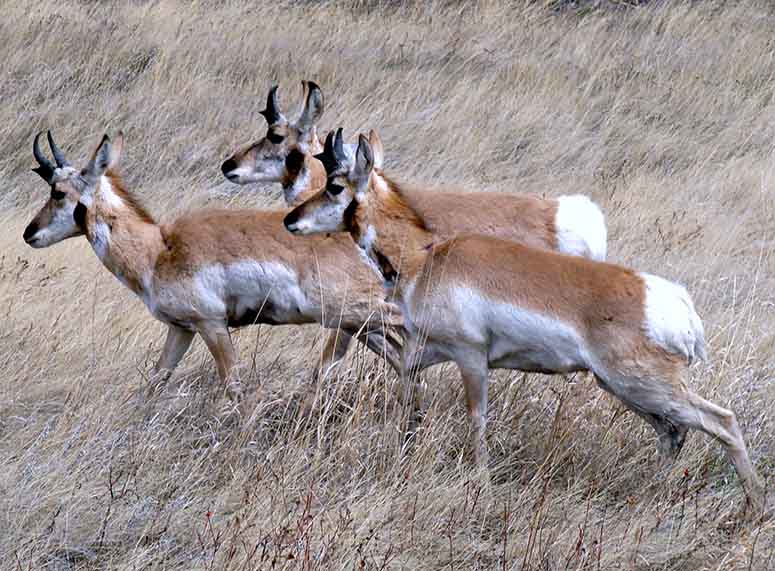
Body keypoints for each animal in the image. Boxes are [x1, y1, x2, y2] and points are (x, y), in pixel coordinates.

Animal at [22, 133, 404, 402]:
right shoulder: (181, 329)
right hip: (358, 327)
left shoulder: (212, 325)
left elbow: (234, 388)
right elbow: (155, 383)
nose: (29, 233)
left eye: (58, 192)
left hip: (364, 317)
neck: (159, 249)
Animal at [284, 131, 768, 524]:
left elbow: (477, 418)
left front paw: (480, 482)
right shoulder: (423, 352)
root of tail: (666, 298)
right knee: (673, 431)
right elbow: (406, 389)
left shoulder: (471, 358)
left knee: (721, 421)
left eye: (334, 185)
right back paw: (651, 494)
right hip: (622, 387)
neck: (426, 256)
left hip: (643, 384)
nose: (290, 220)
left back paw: (754, 507)